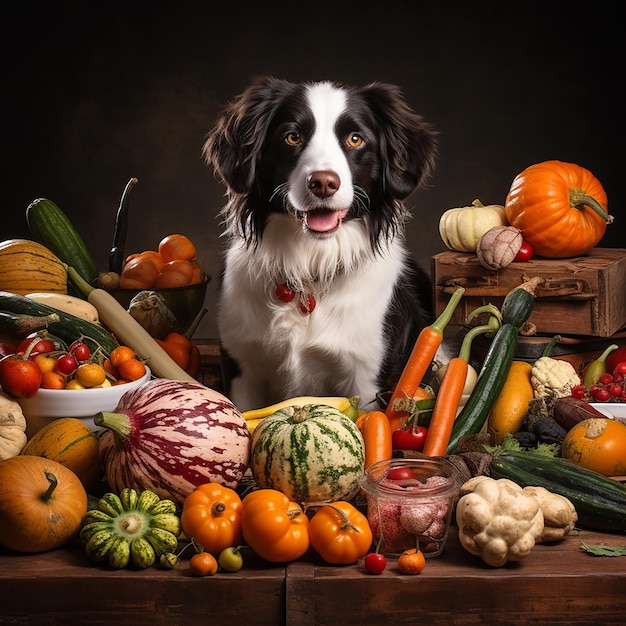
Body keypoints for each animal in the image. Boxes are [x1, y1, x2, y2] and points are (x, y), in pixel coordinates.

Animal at [202, 77, 436, 410]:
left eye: (355, 139)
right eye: (292, 137)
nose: (323, 183)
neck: (309, 267)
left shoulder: (367, 380)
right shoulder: (241, 369)